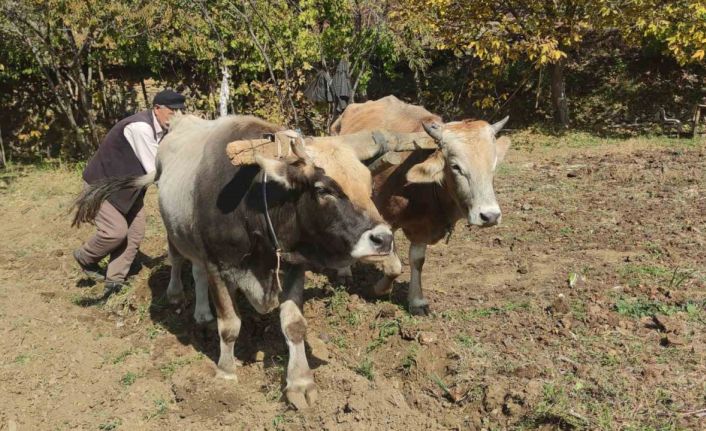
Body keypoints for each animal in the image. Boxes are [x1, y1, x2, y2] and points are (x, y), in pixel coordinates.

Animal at [330, 96, 506, 316]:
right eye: (455, 166)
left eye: (493, 165)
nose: (490, 216)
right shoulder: (383, 217)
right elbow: (394, 266)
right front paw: (379, 289)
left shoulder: (422, 227)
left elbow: (417, 260)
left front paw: (417, 301)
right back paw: (344, 272)